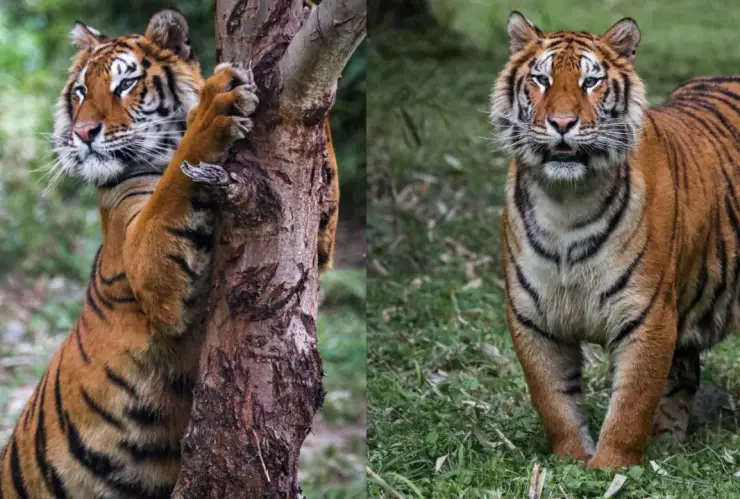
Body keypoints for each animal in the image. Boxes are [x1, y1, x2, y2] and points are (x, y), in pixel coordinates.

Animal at [0, 9, 339, 498]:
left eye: (125, 84)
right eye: (80, 91)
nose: (83, 133)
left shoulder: (318, 241)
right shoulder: (148, 262)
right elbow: (176, 179)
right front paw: (215, 106)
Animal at [493, 11, 740, 469]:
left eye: (591, 81)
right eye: (541, 79)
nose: (562, 124)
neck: (565, 203)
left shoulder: (647, 313)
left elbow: (630, 404)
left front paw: (611, 467)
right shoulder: (532, 318)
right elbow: (554, 400)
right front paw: (570, 460)